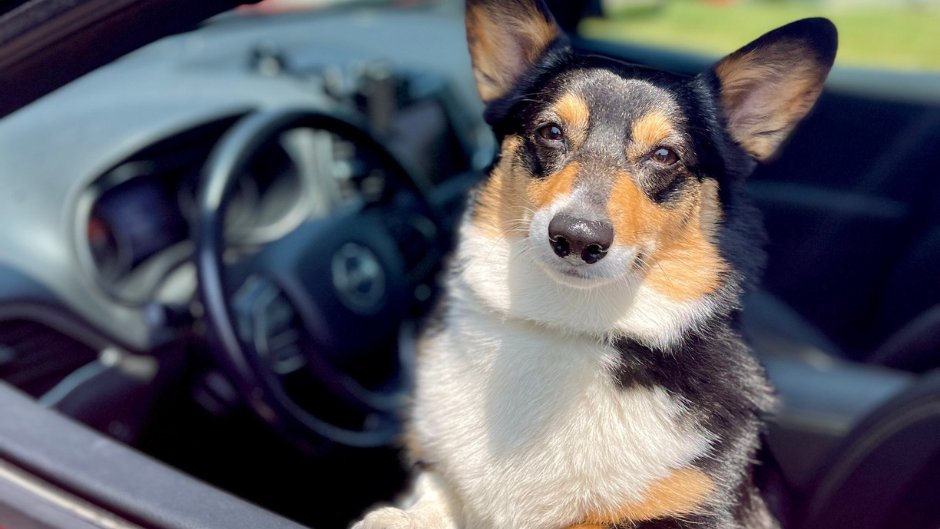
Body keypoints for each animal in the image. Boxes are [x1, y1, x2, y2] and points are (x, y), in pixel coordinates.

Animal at [352, 2, 836, 524]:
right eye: (550, 132)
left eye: (665, 154)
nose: (576, 238)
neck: (568, 324)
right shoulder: (442, 471)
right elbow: (434, 495)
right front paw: (392, 518)